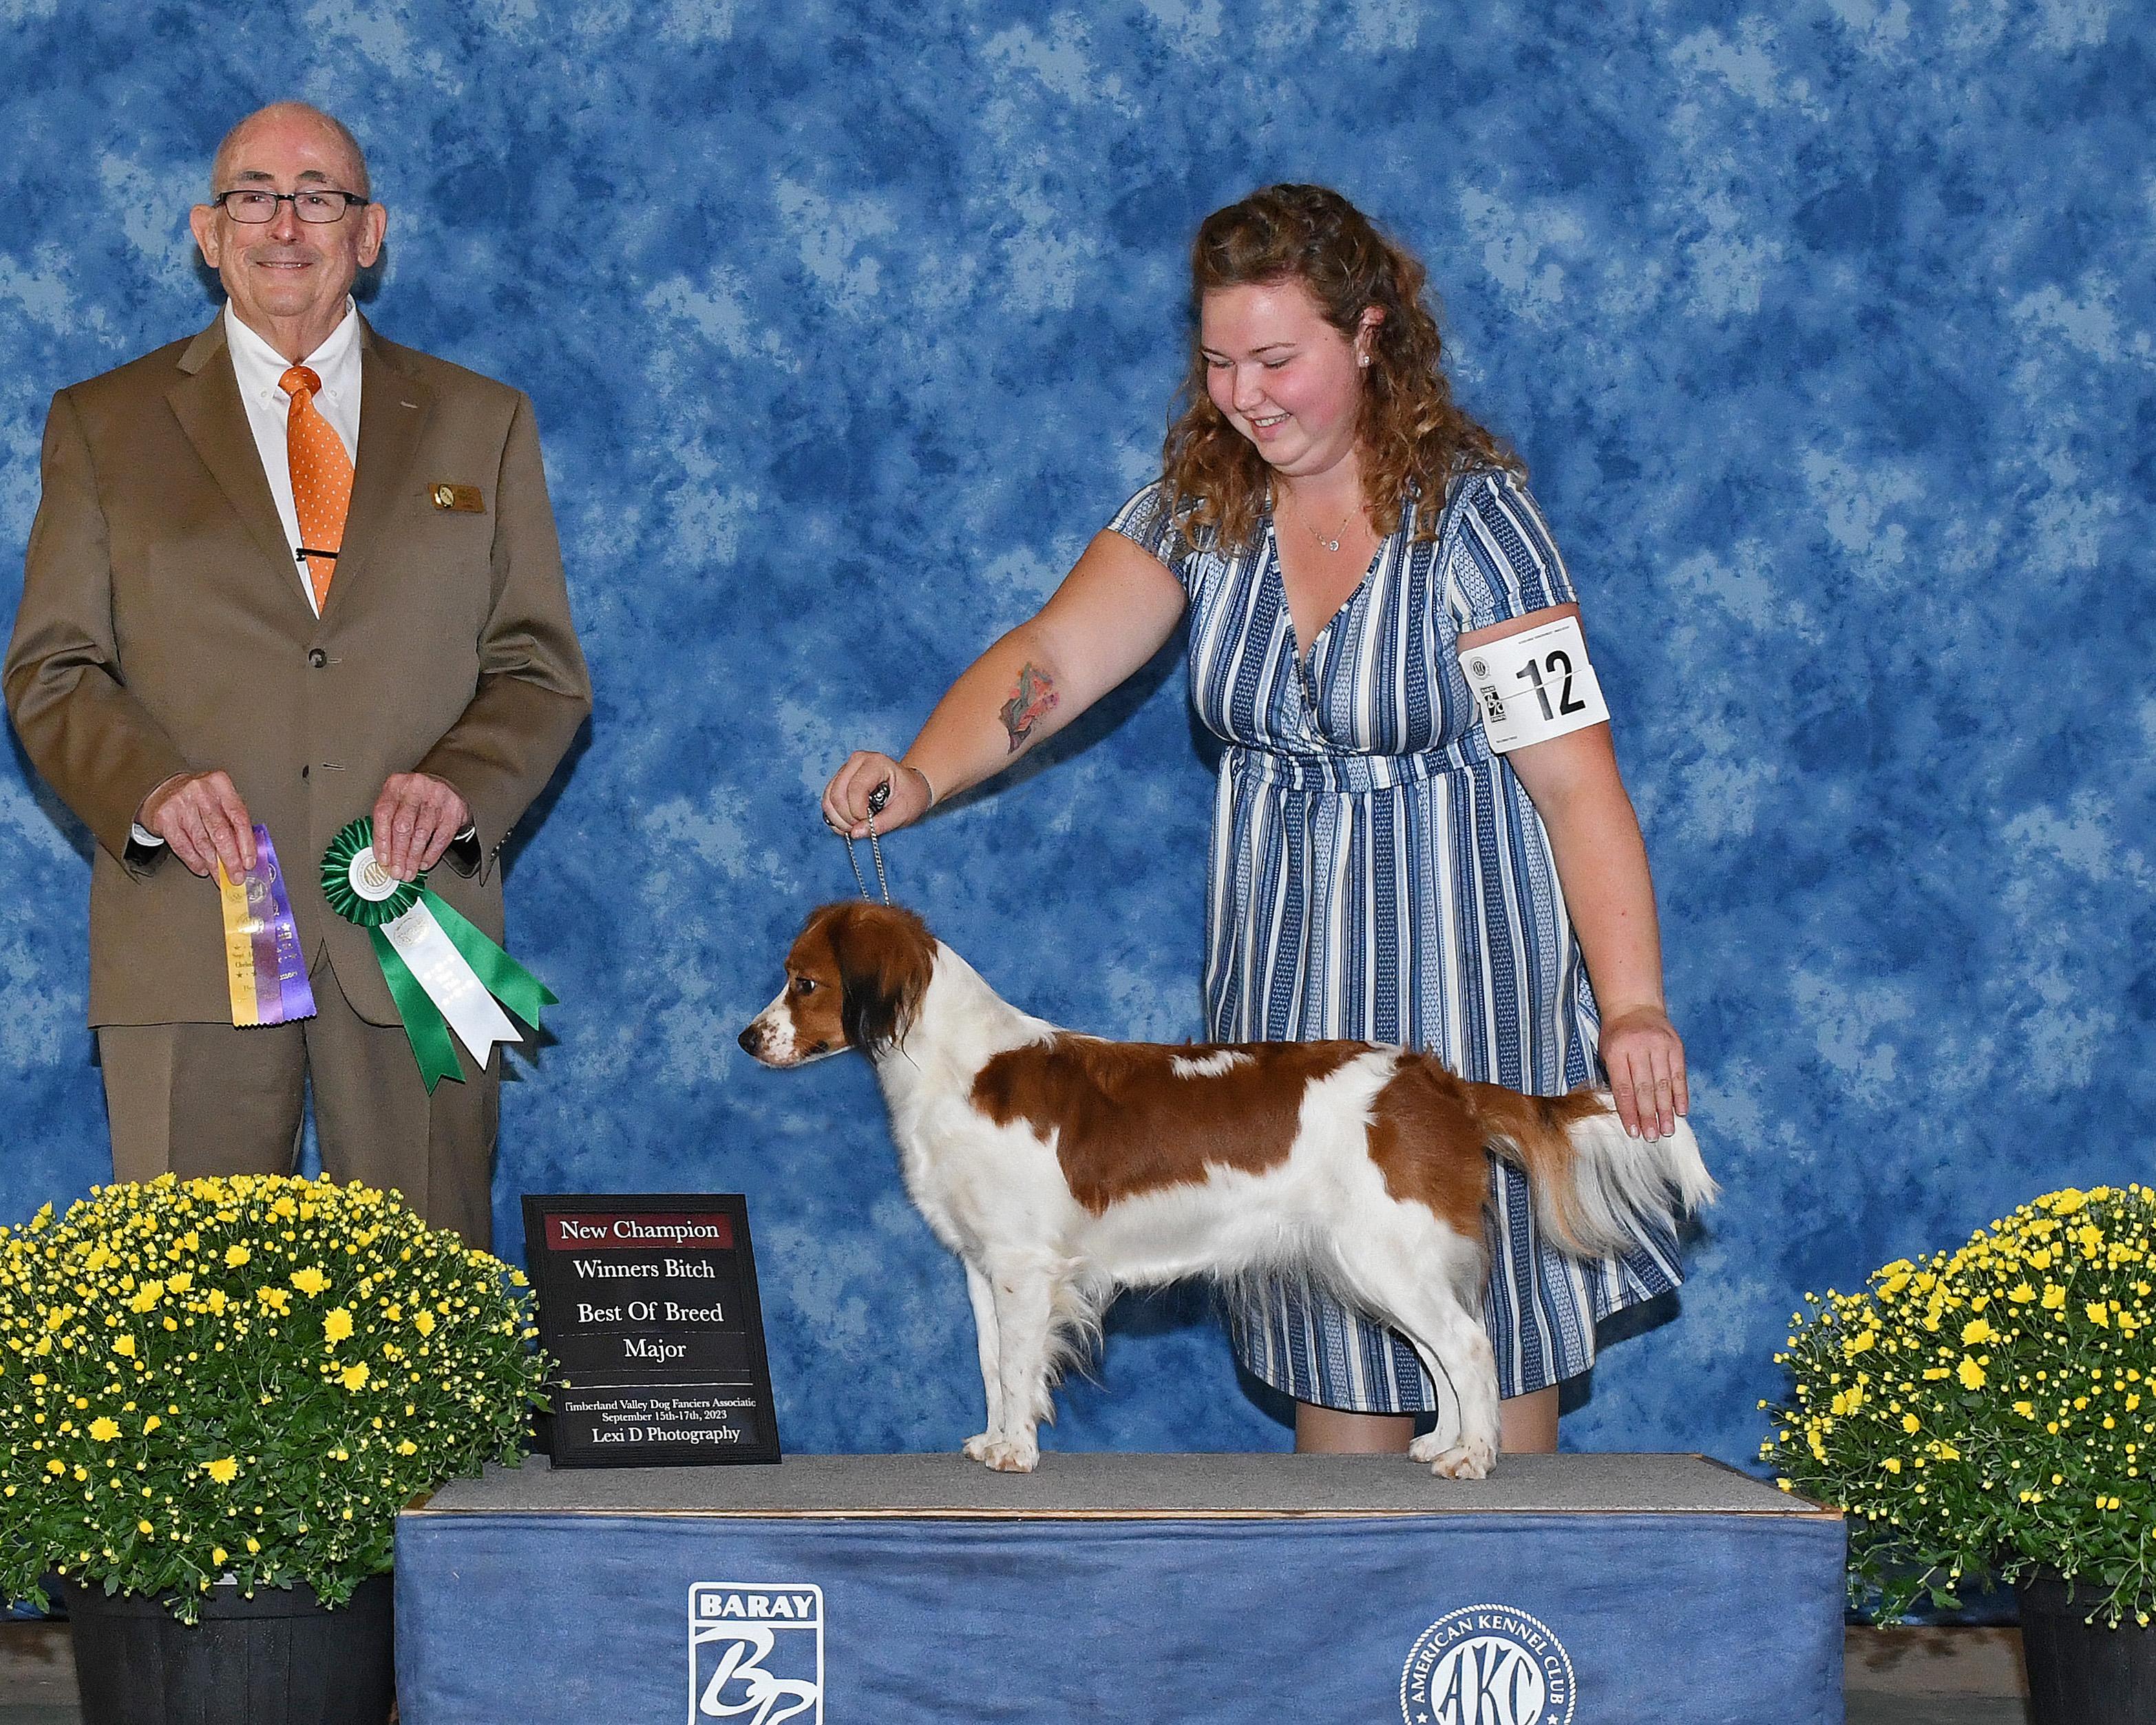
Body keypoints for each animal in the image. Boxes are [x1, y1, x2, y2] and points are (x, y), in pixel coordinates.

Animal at [739, 902, 1716, 1478]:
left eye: (803, 982)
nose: (748, 1039)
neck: (957, 1067)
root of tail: (1435, 1081)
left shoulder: (1024, 1267)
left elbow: (1018, 1365)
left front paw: (1017, 1451)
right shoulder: (984, 1267)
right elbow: (990, 1363)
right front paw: (993, 1438)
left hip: (1388, 1251)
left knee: (1470, 1348)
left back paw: (1472, 1457)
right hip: (1379, 1261)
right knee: (1442, 1353)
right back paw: (1442, 1440)